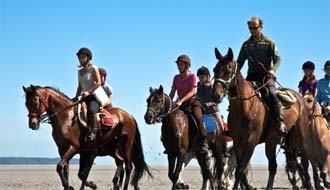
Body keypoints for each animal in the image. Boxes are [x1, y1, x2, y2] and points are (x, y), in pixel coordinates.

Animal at [22, 85, 151, 190]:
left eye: (35, 102)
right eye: (26, 104)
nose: (32, 124)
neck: (65, 118)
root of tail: (129, 116)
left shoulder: (76, 148)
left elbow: (71, 170)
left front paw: (88, 185)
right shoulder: (63, 149)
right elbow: (66, 169)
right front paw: (68, 186)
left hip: (126, 145)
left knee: (128, 167)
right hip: (113, 149)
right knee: (121, 162)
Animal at [211, 47, 312, 190]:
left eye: (228, 70)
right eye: (215, 70)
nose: (216, 95)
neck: (246, 106)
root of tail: (300, 98)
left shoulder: (251, 140)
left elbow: (240, 169)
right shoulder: (237, 141)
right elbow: (241, 170)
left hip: (300, 138)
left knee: (304, 163)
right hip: (272, 141)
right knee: (274, 166)